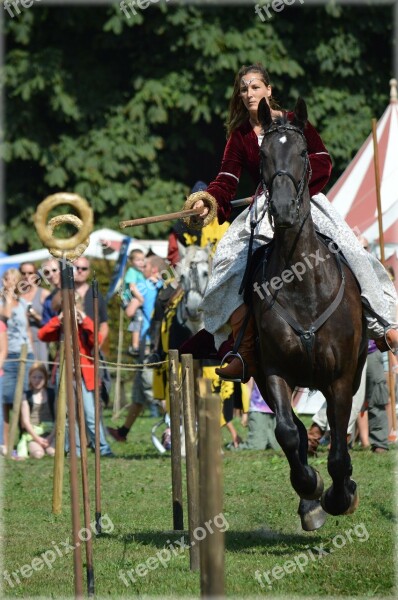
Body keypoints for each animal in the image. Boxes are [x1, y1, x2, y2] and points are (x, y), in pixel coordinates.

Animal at [252, 97, 366, 528]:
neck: (302, 285)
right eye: (264, 155)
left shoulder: (341, 378)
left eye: (303, 152)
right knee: (297, 434)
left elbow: (337, 447)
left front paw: (341, 494)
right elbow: (287, 432)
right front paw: (311, 491)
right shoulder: (272, 371)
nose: (283, 209)